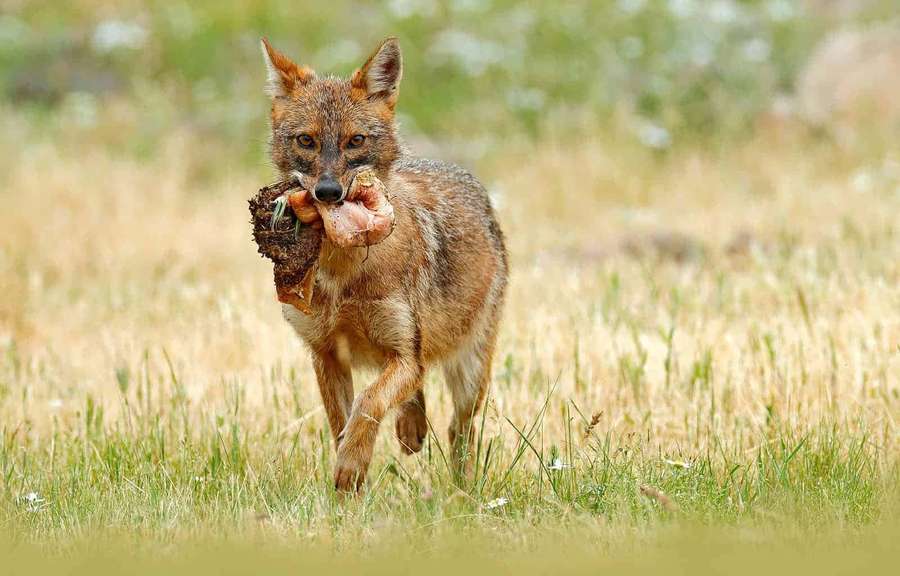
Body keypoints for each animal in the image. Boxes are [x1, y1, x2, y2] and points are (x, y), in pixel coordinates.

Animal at [260, 36, 508, 491]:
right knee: (417, 397)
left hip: (469, 373)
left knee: (459, 432)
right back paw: (411, 429)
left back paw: (461, 493)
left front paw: (350, 466)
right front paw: (347, 486)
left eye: (355, 141)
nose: (328, 192)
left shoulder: (403, 353)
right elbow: (343, 420)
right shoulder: (326, 355)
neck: (343, 274)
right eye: (306, 141)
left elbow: (368, 402)